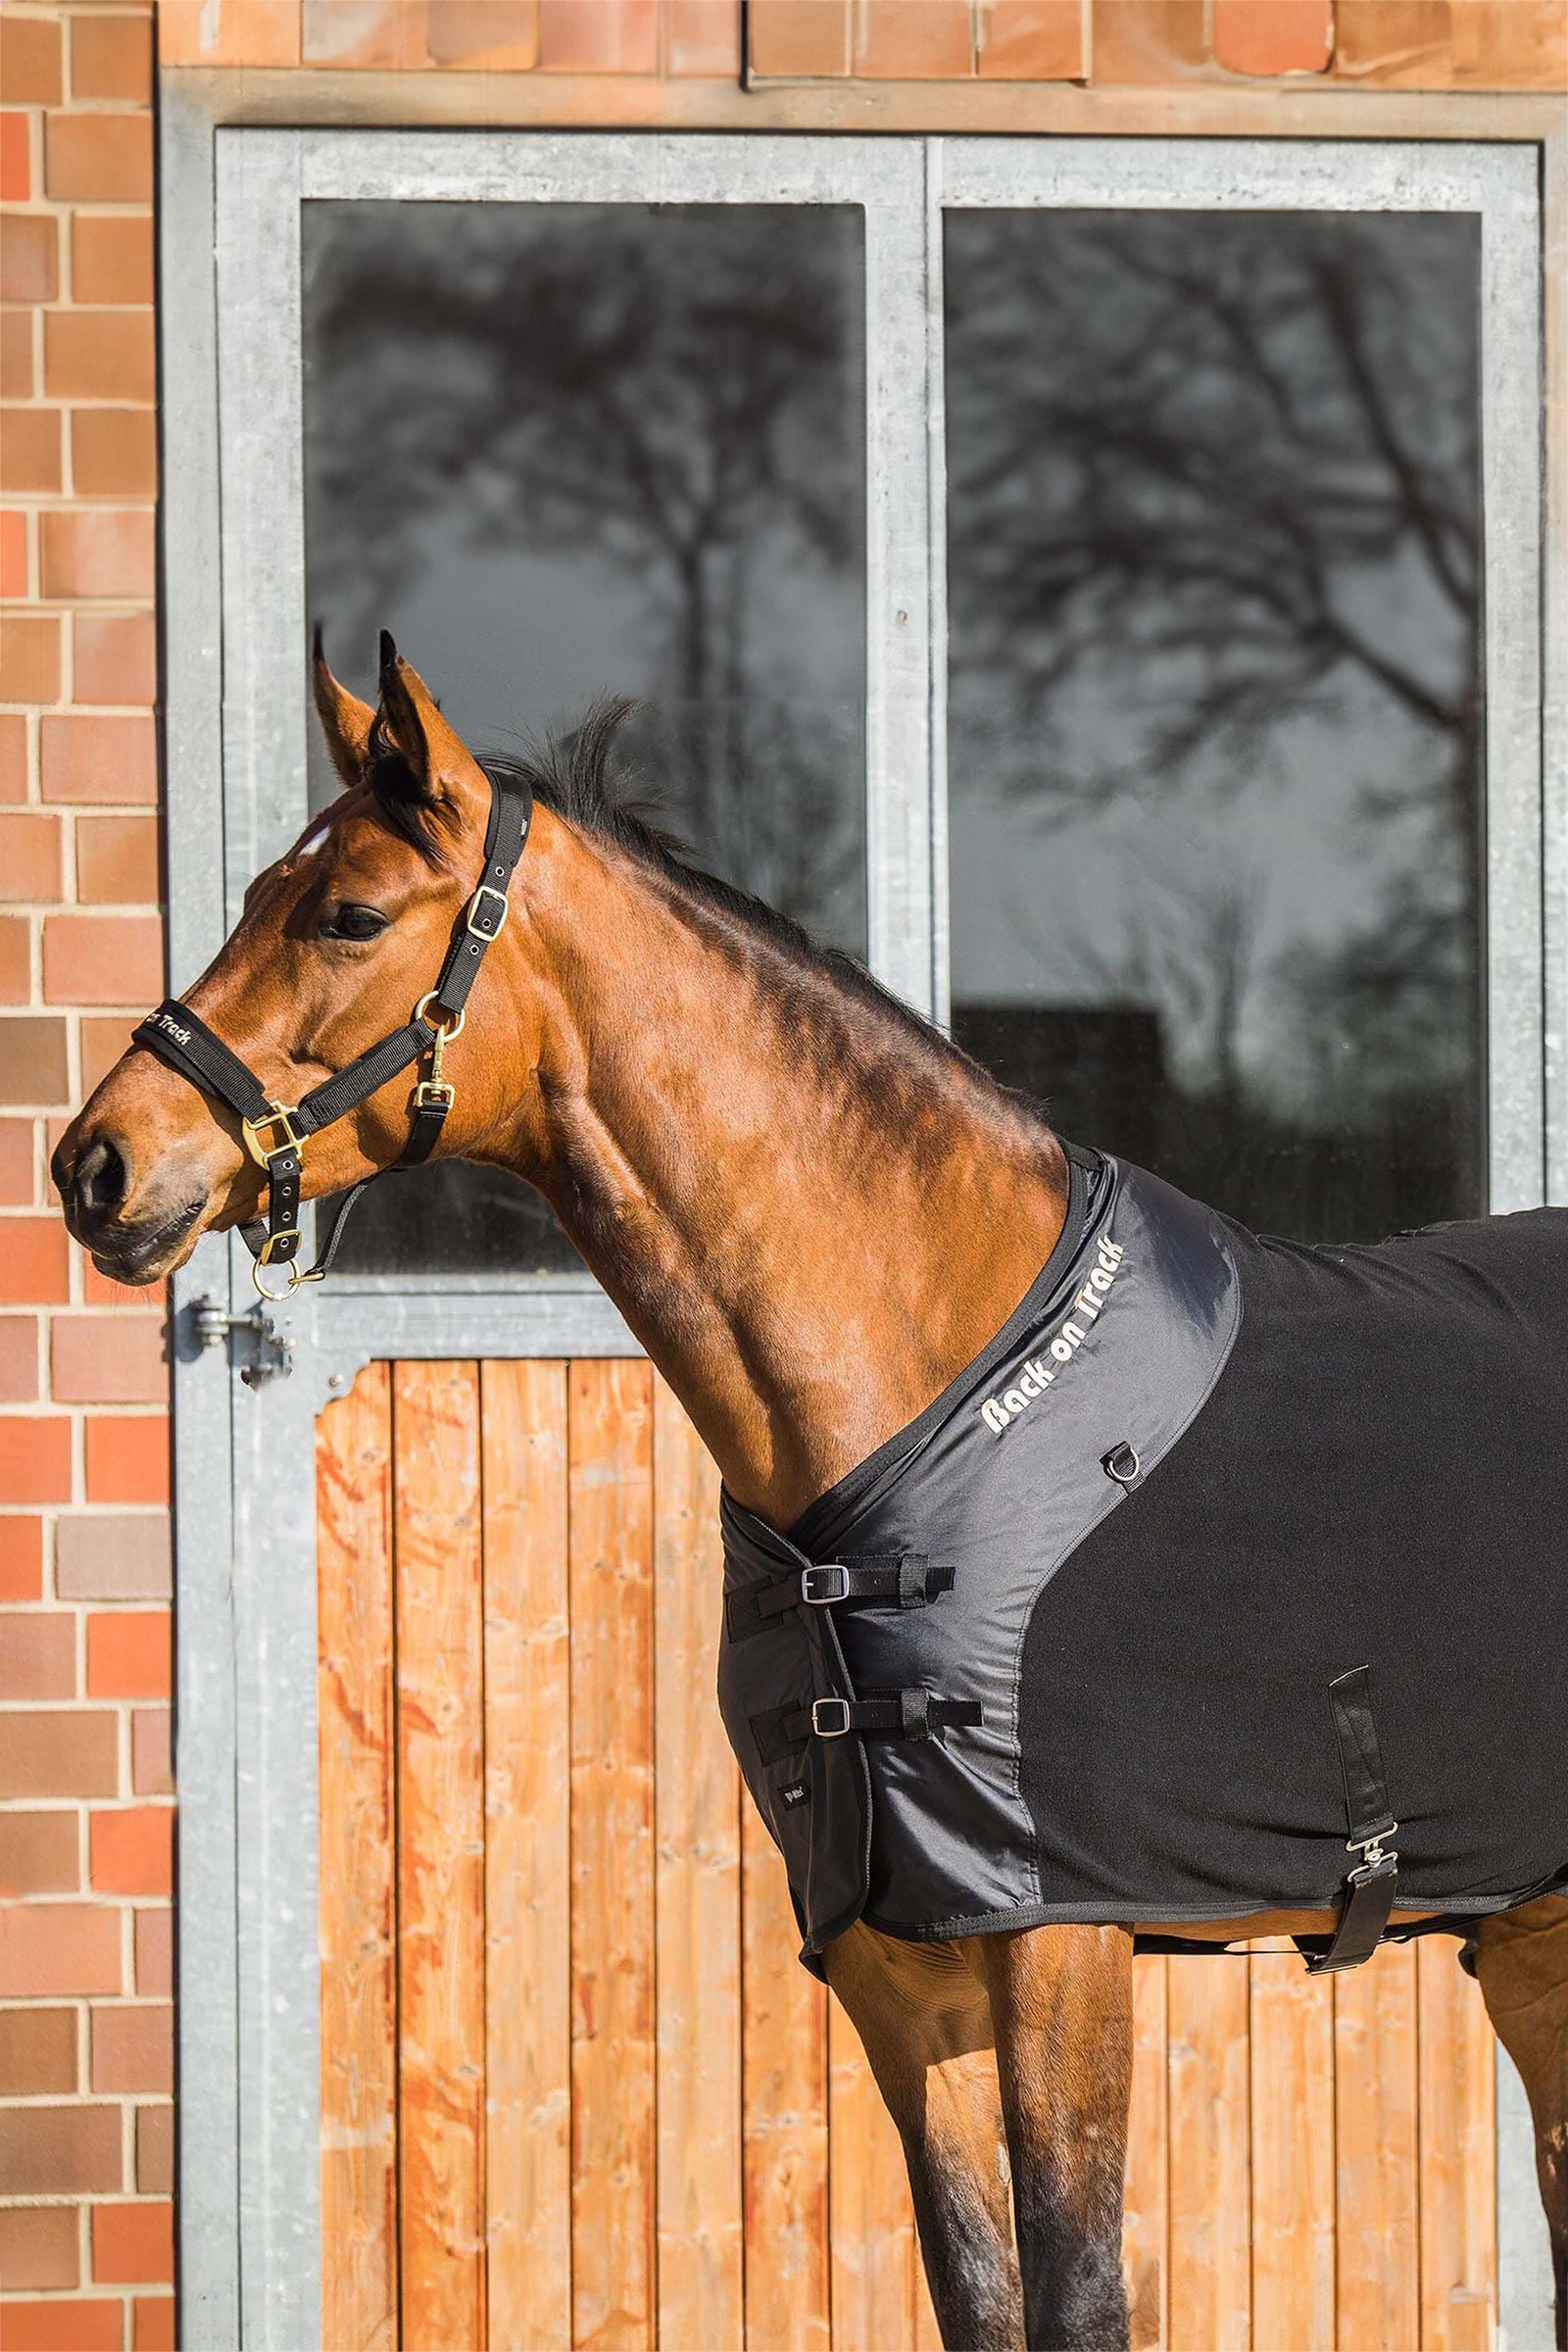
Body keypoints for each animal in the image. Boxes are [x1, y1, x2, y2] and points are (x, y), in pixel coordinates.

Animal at [54, 637, 1568, 2352]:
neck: (932, 1395)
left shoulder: (1062, 1948)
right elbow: (980, 2294)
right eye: (260, 891)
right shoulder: (903, 1974)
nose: (96, 1167)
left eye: (350, 916)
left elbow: (1080, 2294)